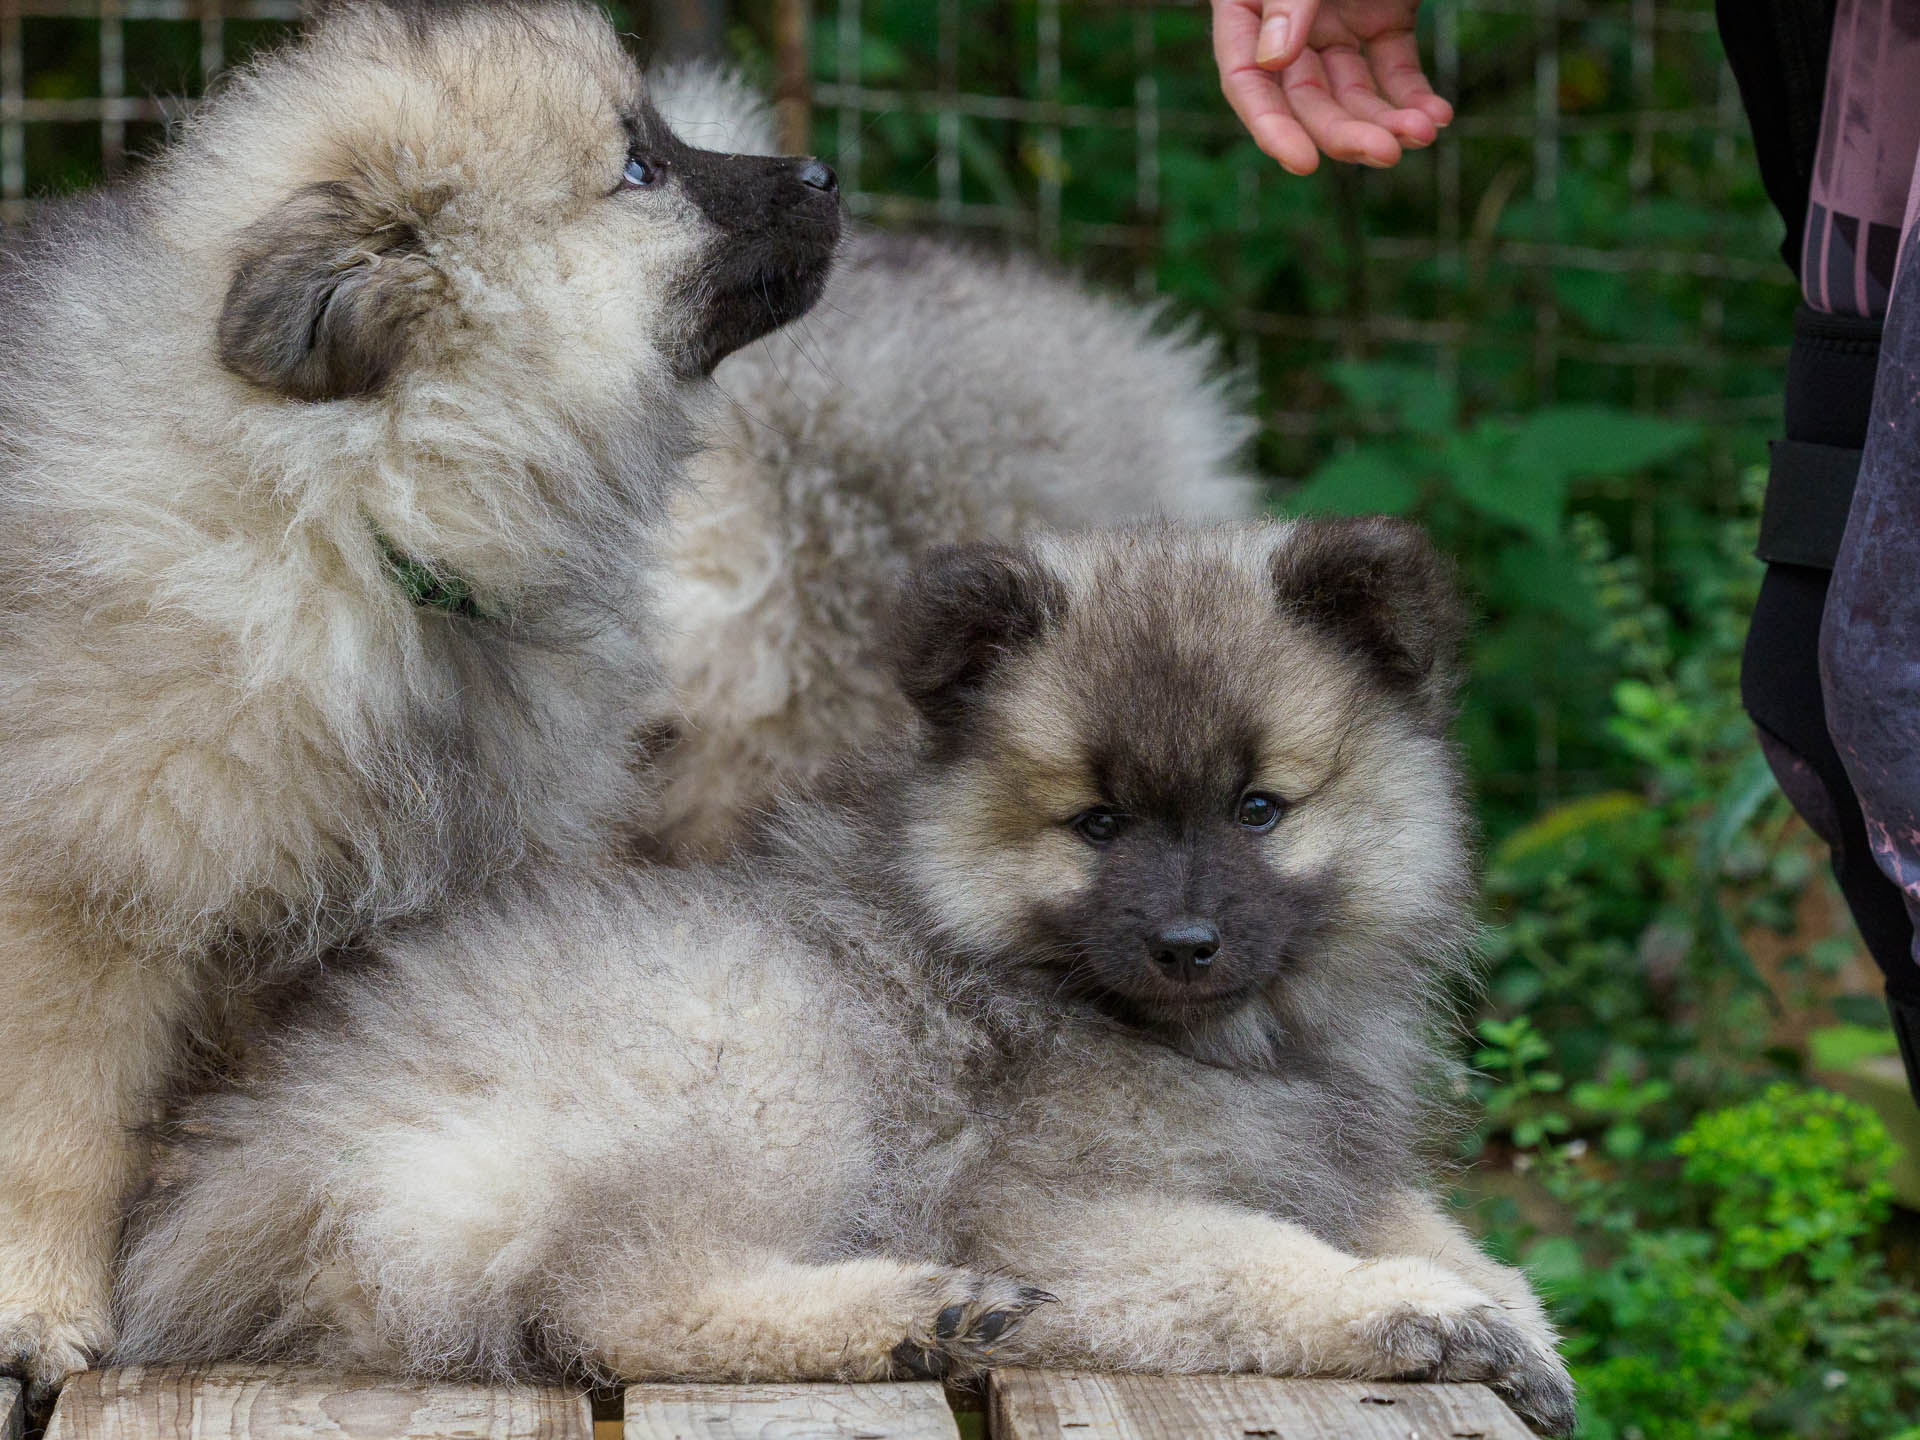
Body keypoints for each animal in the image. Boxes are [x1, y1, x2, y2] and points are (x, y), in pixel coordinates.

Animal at [0, 0, 840, 1397]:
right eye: (638, 169)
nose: (826, 175)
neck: (346, 502)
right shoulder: (84, 892)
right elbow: (51, 1127)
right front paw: (40, 1307)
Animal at [108, 526, 1574, 1436]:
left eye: (1260, 808)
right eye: (1095, 824)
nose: (1185, 943)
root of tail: (266, 1156)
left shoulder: (1325, 1156)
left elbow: (1443, 1232)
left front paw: (1513, 1326)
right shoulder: (1035, 1207)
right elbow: (1258, 1260)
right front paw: (1408, 1311)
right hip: (768, 1059)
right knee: (612, 1297)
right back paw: (913, 1316)